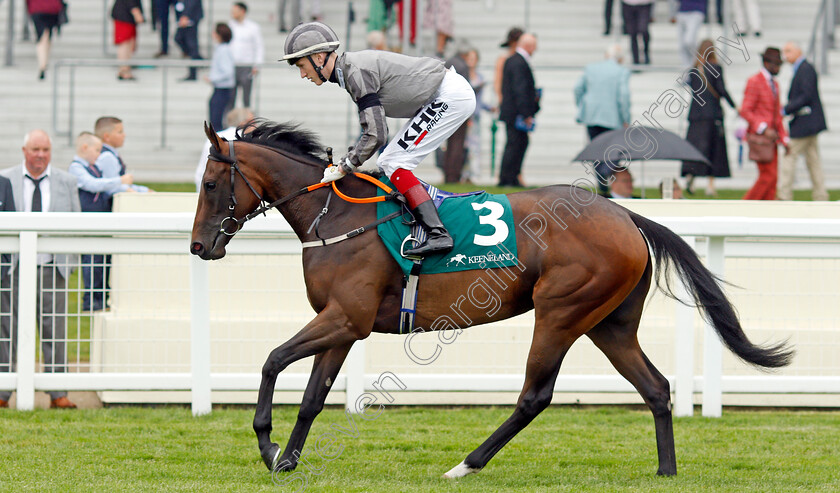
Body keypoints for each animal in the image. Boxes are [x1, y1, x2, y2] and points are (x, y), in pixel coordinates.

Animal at [192, 119, 796, 476]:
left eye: (208, 184)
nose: (199, 246)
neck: (336, 215)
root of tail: (626, 215)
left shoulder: (346, 318)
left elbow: (272, 360)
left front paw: (266, 445)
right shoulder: (341, 322)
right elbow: (314, 396)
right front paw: (286, 459)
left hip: (561, 312)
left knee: (535, 395)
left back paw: (467, 464)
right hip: (610, 324)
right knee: (656, 387)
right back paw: (666, 472)